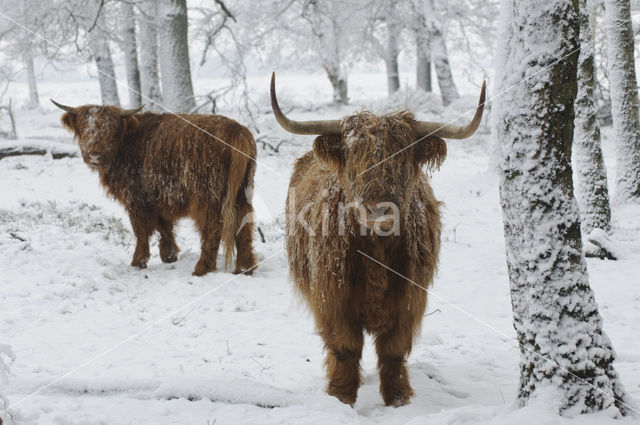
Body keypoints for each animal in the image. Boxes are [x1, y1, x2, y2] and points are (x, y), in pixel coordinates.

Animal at [52, 101, 258, 276]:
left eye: (110, 130)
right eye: (85, 129)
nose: (94, 154)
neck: (127, 143)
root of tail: (236, 130)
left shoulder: (137, 198)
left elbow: (141, 230)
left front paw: (138, 261)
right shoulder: (158, 197)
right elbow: (164, 226)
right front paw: (169, 255)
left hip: (206, 195)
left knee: (212, 226)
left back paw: (202, 268)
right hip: (242, 191)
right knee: (244, 222)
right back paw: (245, 267)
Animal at [270, 72, 484, 404]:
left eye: (402, 158)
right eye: (354, 156)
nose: (377, 208)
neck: (377, 249)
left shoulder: (409, 297)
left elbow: (393, 349)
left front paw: (398, 397)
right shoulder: (331, 296)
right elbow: (345, 346)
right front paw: (341, 395)